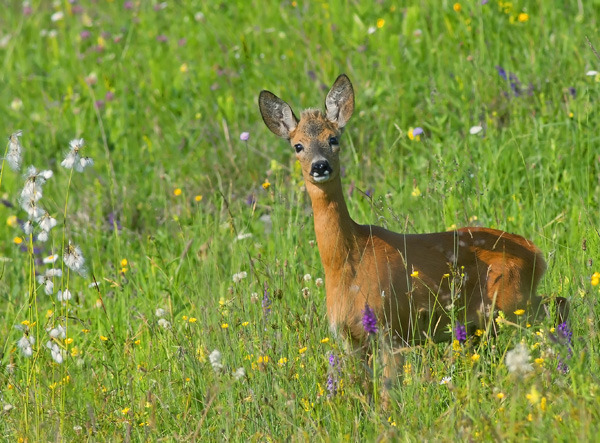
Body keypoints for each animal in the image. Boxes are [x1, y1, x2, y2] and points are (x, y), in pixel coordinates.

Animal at [258, 74, 568, 390]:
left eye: (333, 139)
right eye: (298, 146)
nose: (320, 166)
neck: (347, 262)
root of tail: (536, 253)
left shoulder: (390, 328)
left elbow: (387, 391)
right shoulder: (349, 339)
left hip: (511, 301)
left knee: (557, 305)